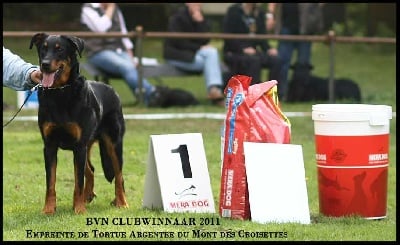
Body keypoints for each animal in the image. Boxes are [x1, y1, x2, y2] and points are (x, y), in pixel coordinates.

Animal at [29, 33, 128, 214]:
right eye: (43, 49)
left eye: (59, 49)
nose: (45, 64)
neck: (60, 92)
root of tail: (112, 90)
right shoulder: (50, 146)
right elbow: (50, 182)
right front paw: (49, 209)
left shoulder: (79, 145)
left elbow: (78, 182)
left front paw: (79, 209)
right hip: (86, 146)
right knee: (90, 170)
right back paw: (88, 196)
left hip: (113, 143)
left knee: (118, 175)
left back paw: (121, 202)